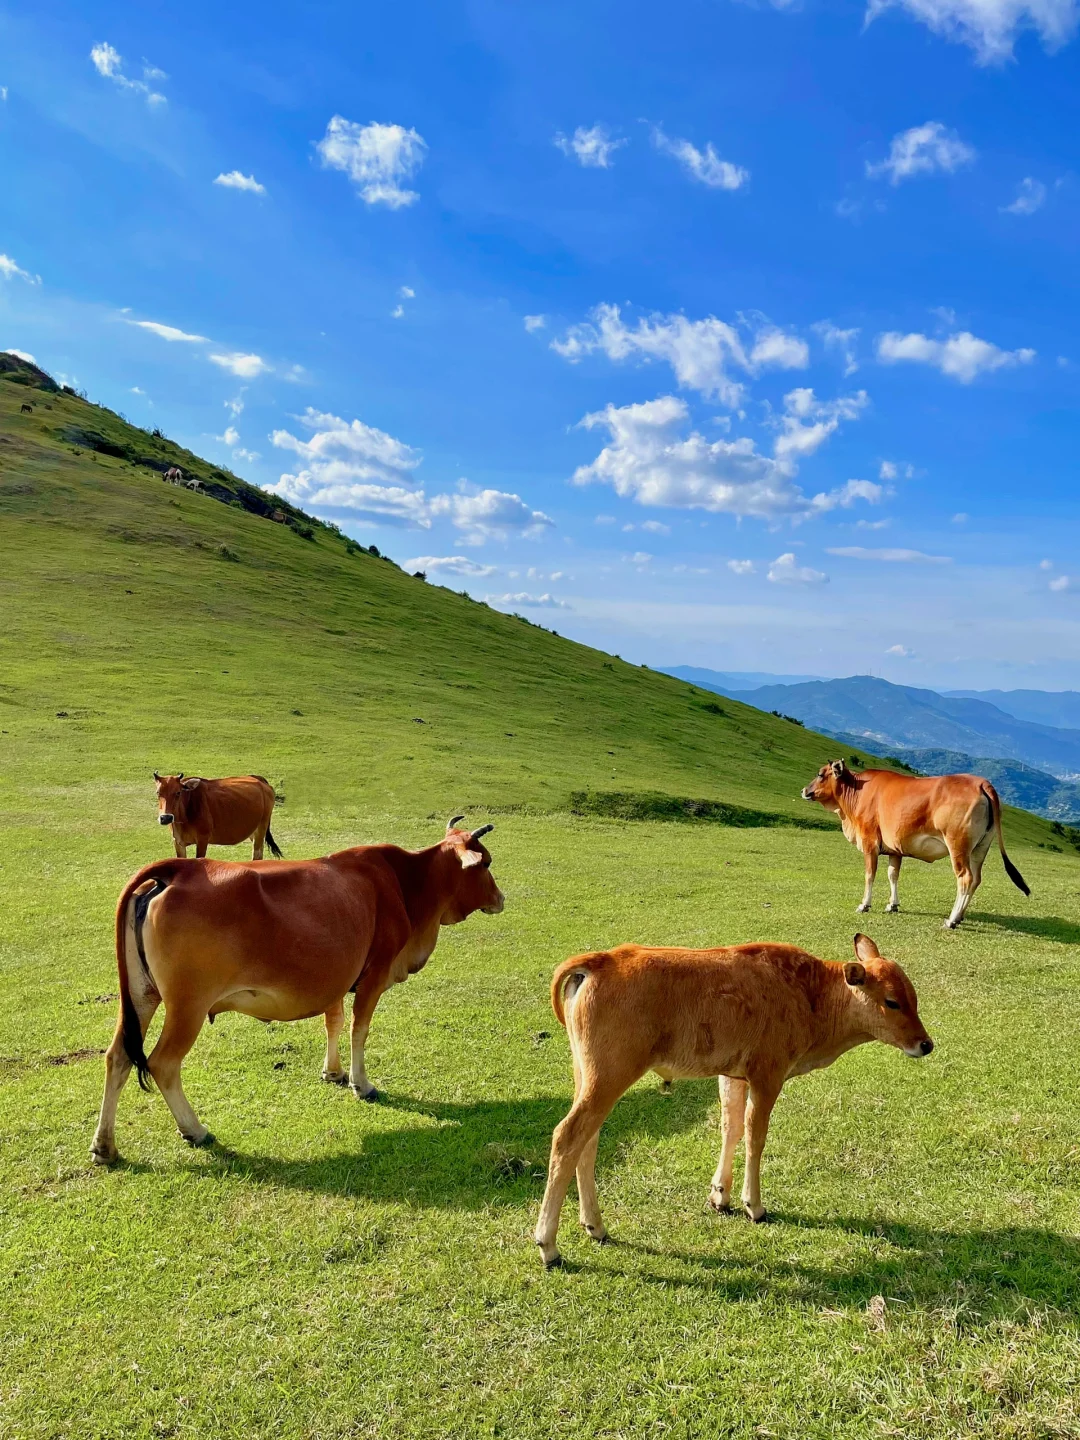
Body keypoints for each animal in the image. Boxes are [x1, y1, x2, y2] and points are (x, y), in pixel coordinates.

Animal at [91, 817, 506, 1163]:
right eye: (485, 863)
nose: (502, 898)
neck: (405, 881)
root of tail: (178, 868)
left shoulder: (336, 978)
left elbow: (333, 1022)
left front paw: (333, 1072)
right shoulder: (374, 976)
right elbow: (359, 1030)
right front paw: (361, 1083)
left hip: (141, 996)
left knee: (118, 1056)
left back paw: (105, 1146)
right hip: (187, 1005)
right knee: (162, 1063)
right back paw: (195, 1129)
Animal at [157, 771, 285, 858]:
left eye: (178, 792)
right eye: (158, 792)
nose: (166, 817)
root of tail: (258, 779)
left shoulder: (203, 839)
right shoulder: (178, 842)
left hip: (261, 828)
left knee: (257, 855)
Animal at [532, 933, 933, 1261]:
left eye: (913, 997)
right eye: (892, 1002)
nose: (926, 1044)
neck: (810, 994)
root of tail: (601, 960)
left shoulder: (732, 1075)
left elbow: (731, 1127)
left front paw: (719, 1195)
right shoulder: (768, 1075)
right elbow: (755, 1137)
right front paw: (754, 1205)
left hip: (587, 1076)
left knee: (588, 1140)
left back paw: (595, 1226)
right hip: (609, 1077)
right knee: (567, 1136)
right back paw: (549, 1245)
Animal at [806, 760, 1031, 927]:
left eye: (820, 774)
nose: (804, 790)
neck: (857, 793)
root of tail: (981, 783)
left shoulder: (869, 841)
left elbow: (870, 875)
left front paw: (864, 905)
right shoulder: (894, 849)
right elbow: (893, 875)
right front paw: (892, 905)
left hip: (958, 845)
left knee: (965, 878)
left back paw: (951, 919)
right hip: (980, 847)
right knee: (976, 879)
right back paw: (960, 916)